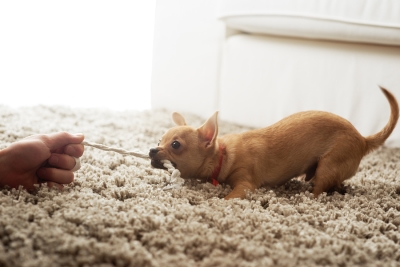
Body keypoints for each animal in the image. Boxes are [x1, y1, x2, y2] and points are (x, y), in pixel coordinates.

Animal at [148, 88, 398, 199]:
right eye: (159, 140)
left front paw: (221, 201)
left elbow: (231, 196)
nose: (151, 150)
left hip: (328, 165)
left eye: (176, 145)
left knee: (319, 189)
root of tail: (362, 139)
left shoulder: (245, 184)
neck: (224, 154)